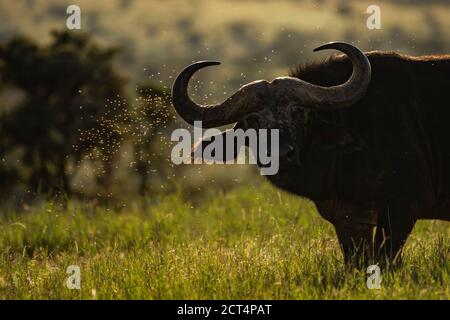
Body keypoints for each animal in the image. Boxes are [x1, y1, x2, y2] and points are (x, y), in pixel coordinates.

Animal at [171, 40, 448, 264]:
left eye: (298, 113)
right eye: (253, 121)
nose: (281, 154)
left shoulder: (403, 208)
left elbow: (385, 260)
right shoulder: (349, 218)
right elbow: (356, 261)